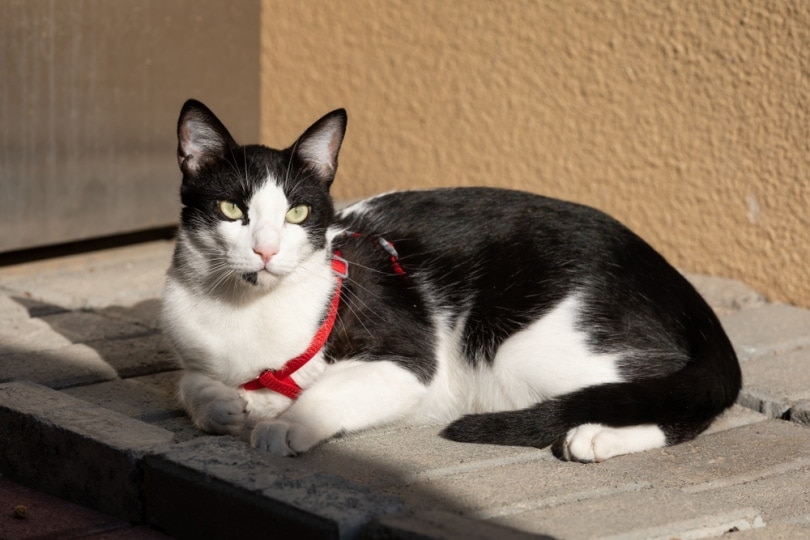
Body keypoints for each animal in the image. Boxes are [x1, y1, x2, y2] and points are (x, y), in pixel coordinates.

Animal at [163, 99, 740, 462]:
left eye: (298, 212)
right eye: (232, 208)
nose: (265, 249)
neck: (245, 311)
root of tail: (676, 282)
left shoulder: (408, 357)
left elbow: (327, 392)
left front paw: (287, 424)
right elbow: (187, 380)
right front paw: (222, 403)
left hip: (523, 351)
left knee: (676, 396)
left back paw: (596, 437)